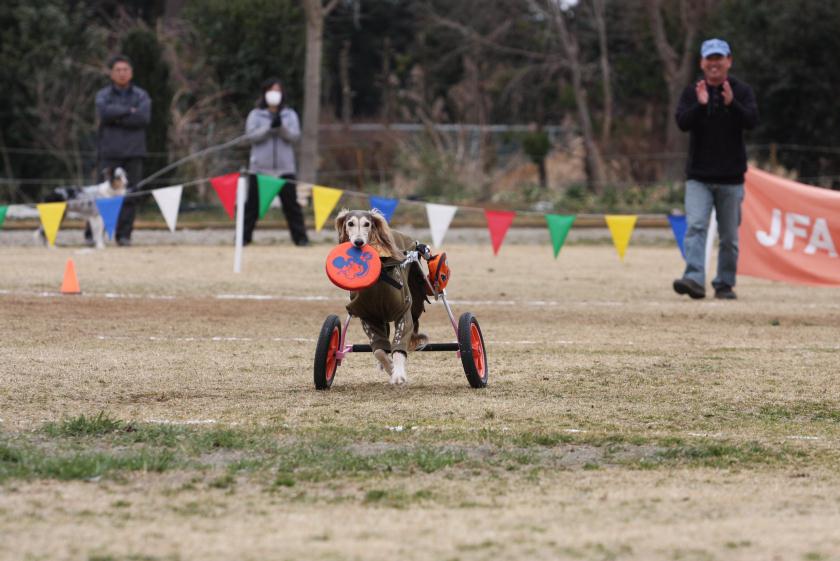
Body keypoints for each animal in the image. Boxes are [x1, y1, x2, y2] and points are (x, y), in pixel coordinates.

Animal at [334, 210, 430, 384]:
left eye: (367, 224)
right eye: (350, 223)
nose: (358, 242)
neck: (379, 278)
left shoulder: (403, 313)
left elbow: (399, 346)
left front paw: (398, 375)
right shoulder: (368, 316)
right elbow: (379, 350)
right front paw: (390, 368)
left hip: (416, 302)